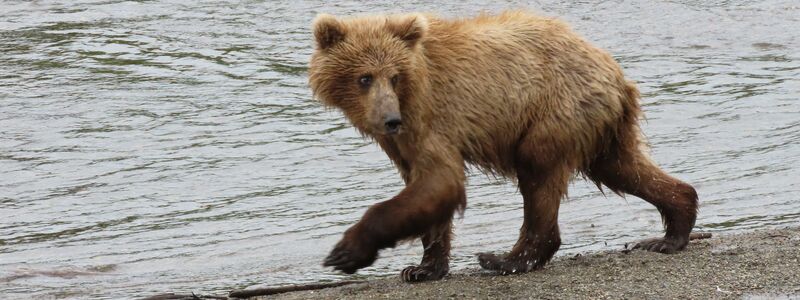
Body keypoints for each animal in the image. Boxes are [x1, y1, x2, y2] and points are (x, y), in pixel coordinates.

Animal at [310, 10, 696, 282]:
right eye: (364, 78)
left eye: (394, 76)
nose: (390, 119)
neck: (408, 95)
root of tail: (616, 72)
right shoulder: (404, 140)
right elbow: (424, 188)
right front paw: (422, 268)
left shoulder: (431, 115)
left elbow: (441, 180)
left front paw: (346, 252)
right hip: (599, 126)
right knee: (623, 168)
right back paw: (671, 231)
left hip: (554, 111)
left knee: (538, 173)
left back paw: (506, 259)